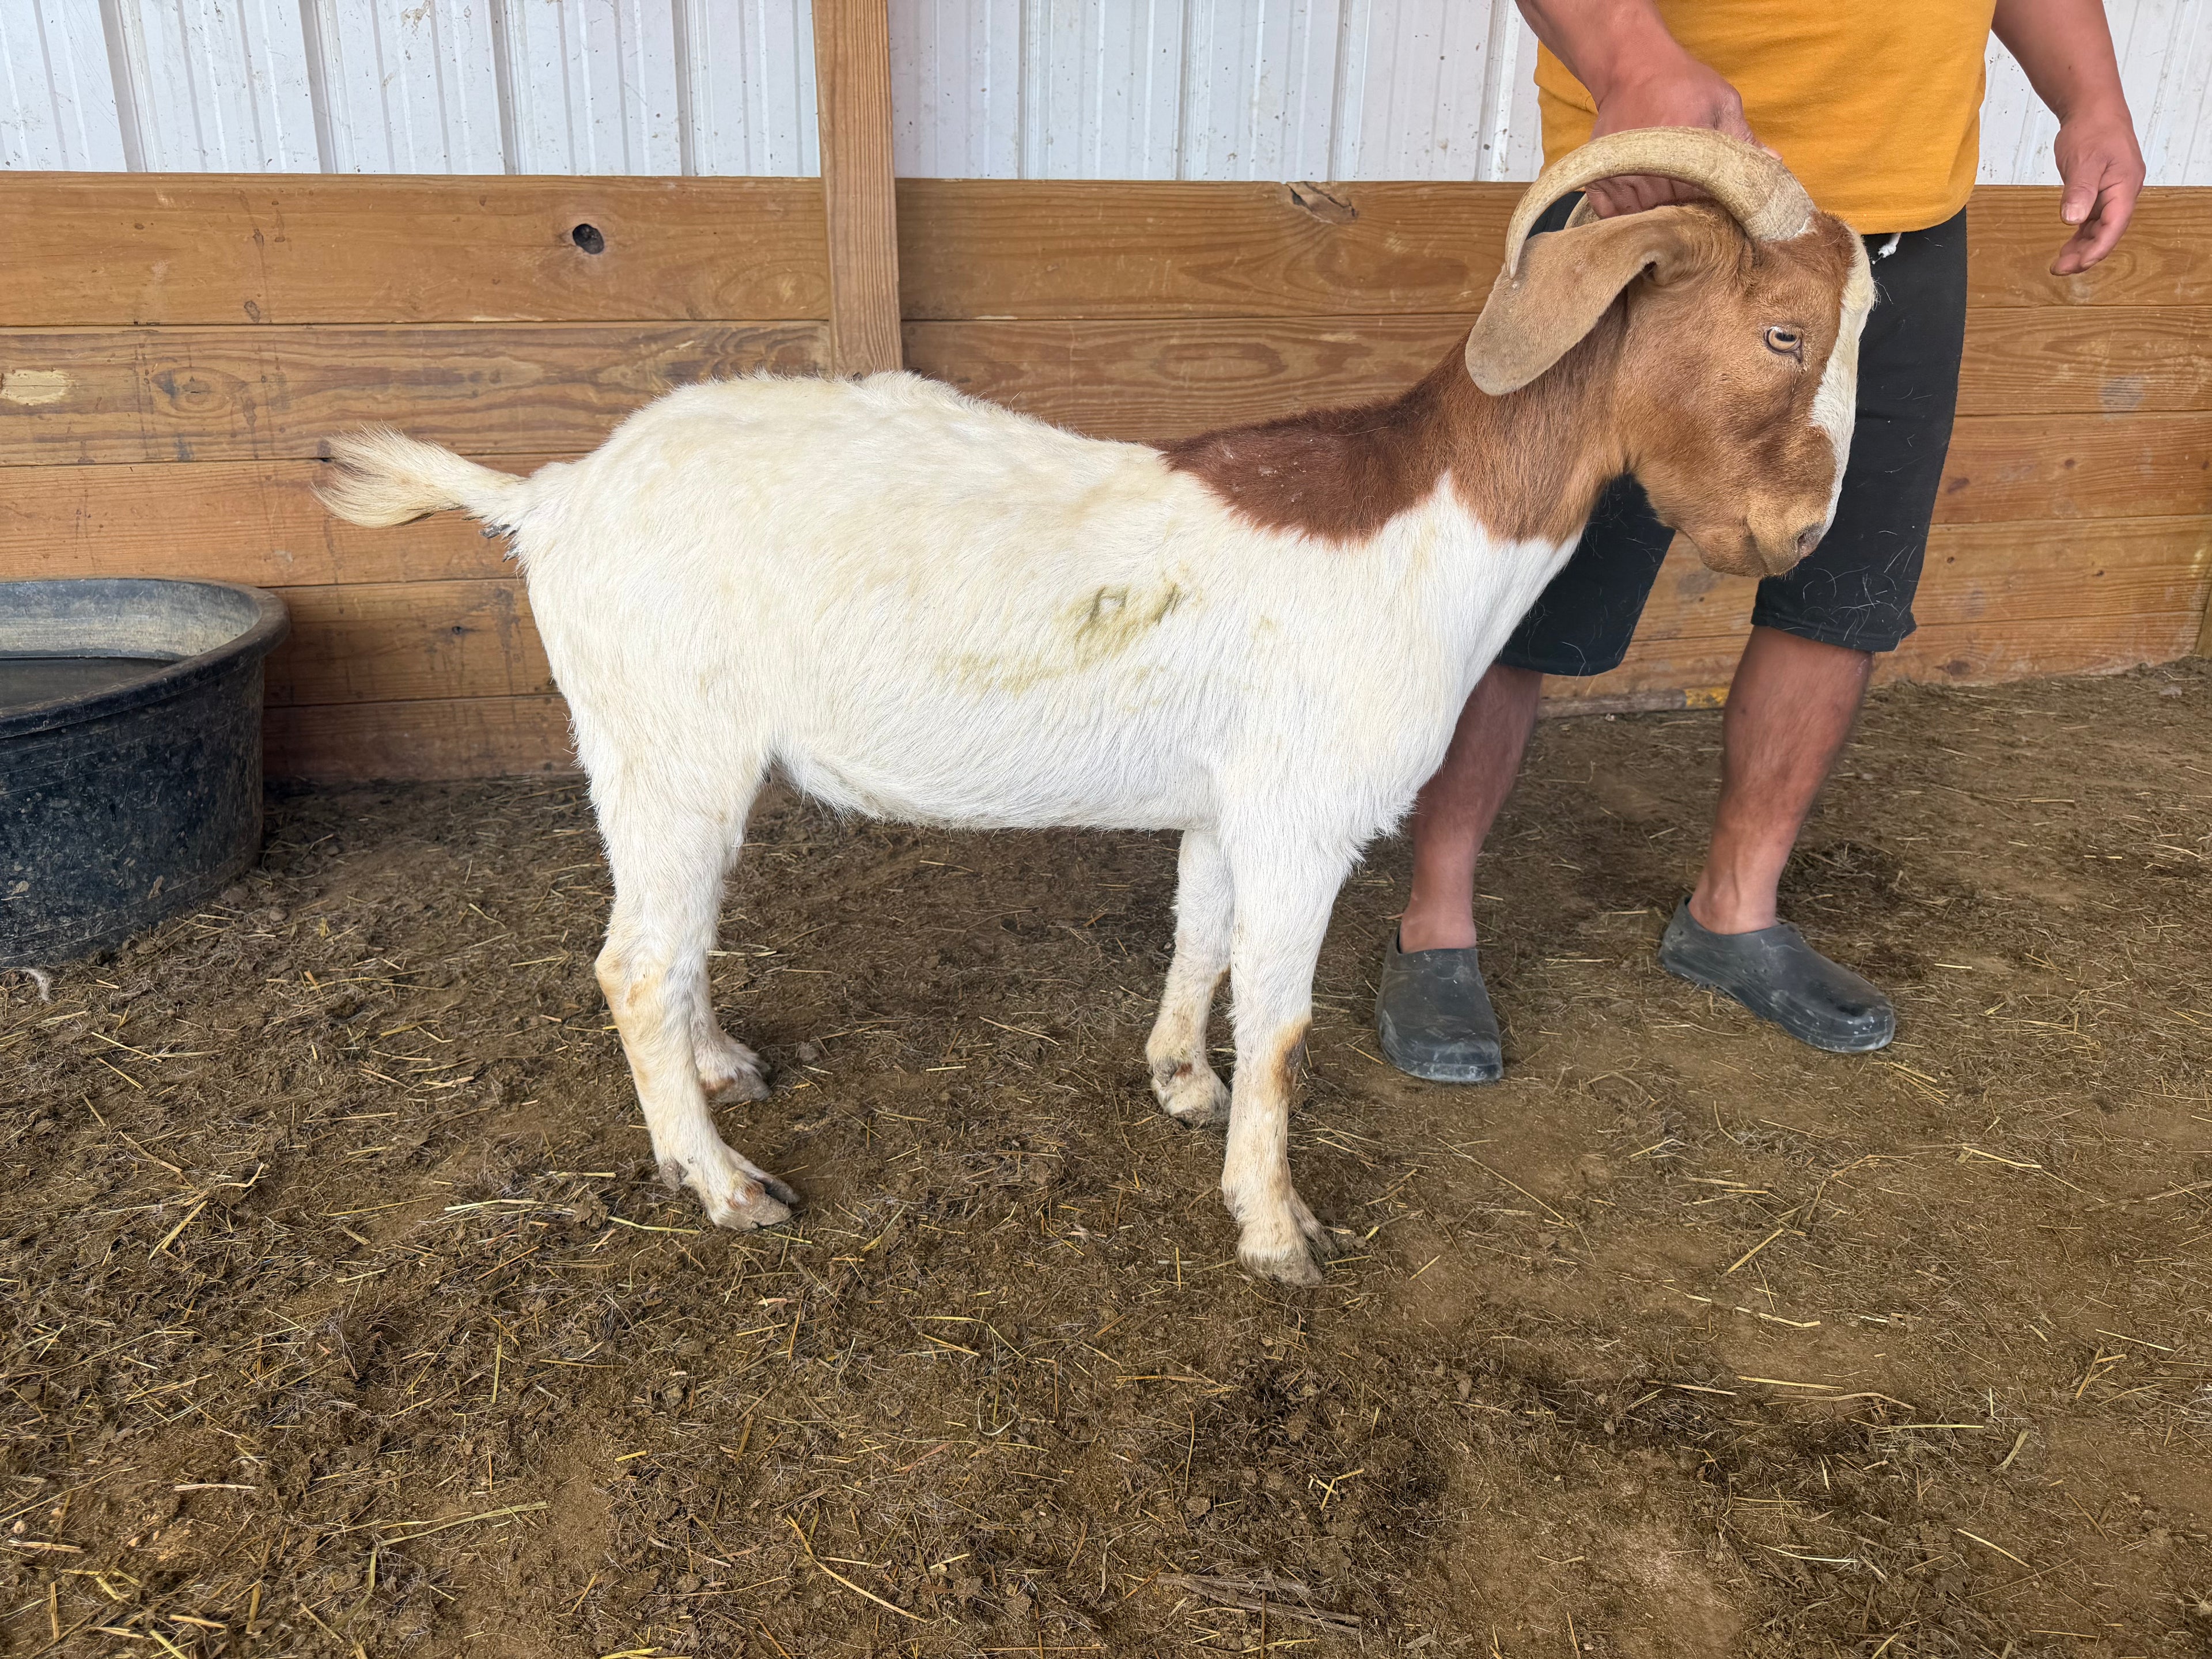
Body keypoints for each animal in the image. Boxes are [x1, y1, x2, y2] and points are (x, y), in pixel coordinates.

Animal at [318, 130, 1874, 1286]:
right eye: (1781, 330)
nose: (1802, 538)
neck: (1429, 522)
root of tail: (549, 494)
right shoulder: (1306, 810)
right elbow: (1286, 1020)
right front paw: (1277, 1228)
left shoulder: (1228, 800)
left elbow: (1199, 936)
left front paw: (1180, 1079)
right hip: (671, 737)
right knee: (632, 965)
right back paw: (723, 1182)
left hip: (657, 754)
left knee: (668, 941)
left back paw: (721, 1070)